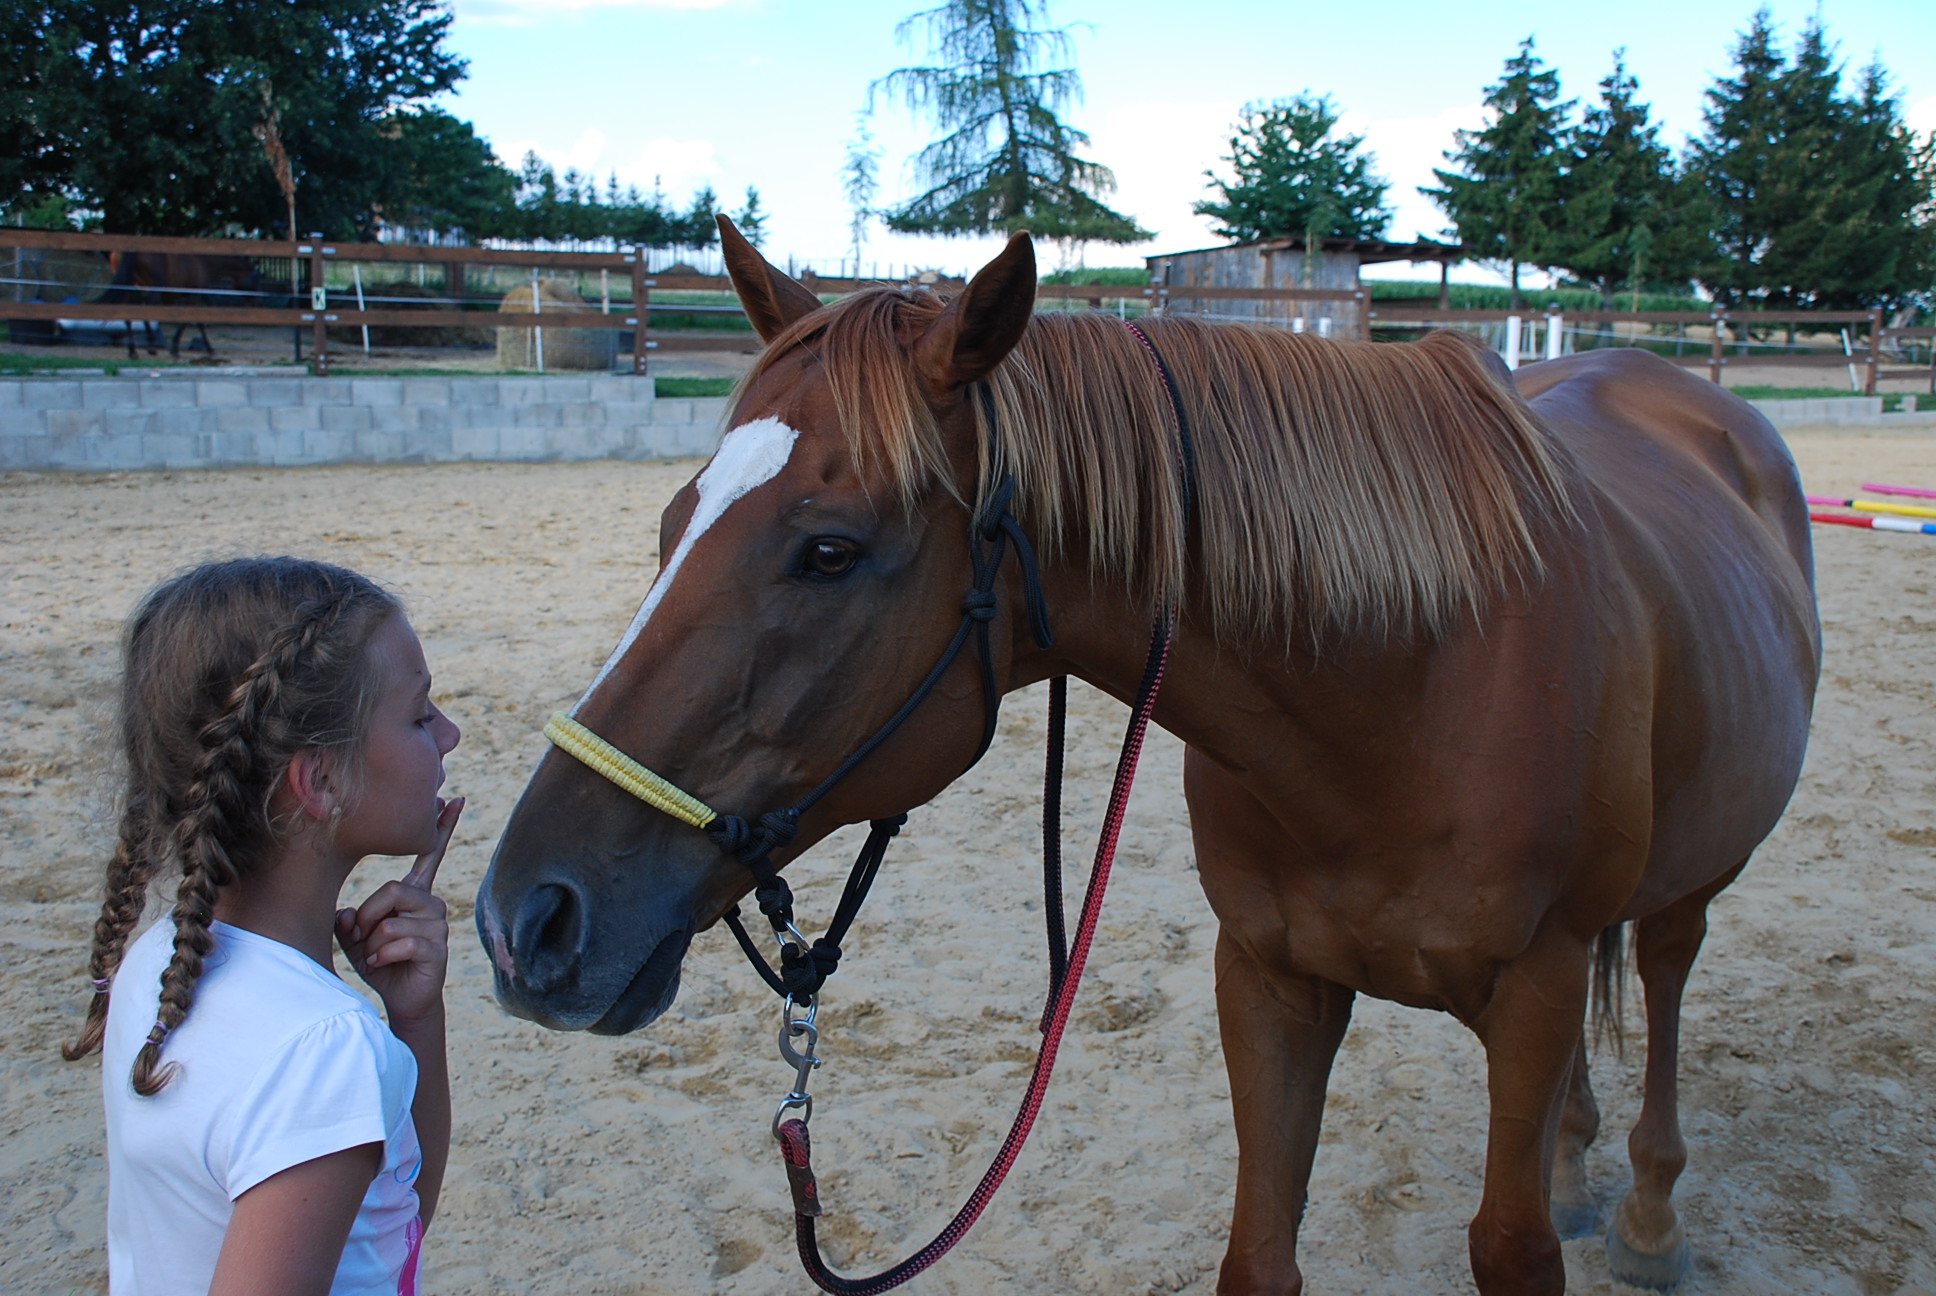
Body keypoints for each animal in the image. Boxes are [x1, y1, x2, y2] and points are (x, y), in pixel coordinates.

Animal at [101, 251, 272, 358]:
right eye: (256, 278)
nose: (259, 302)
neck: (204, 263)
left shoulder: (174, 297)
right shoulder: (193, 297)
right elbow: (191, 322)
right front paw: (176, 349)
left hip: (130, 290)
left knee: (128, 317)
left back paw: (133, 352)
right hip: (151, 290)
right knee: (144, 312)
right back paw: (150, 345)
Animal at [476, 222, 1819, 1294]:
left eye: (828, 551)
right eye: (670, 522)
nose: (522, 920)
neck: (1411, 686)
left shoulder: (1532, 987)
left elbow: (1511, 1246)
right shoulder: (1269, 979)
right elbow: (1260, 1251)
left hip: (1691, 882)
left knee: (1662, 968)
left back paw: (1643, 1214)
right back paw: (1578, 1163)